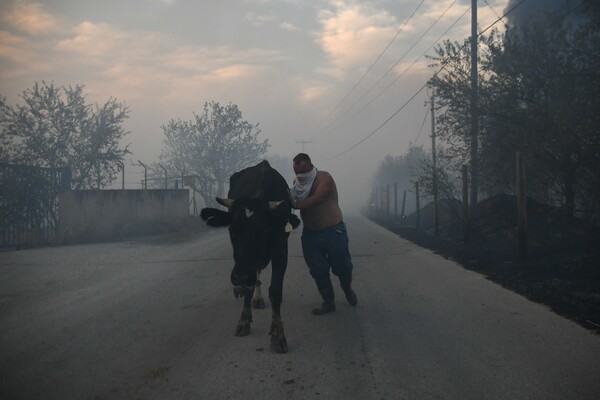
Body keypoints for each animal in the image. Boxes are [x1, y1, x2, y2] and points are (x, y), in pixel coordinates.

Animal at [199, 160, 300, 354]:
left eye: (263, 230)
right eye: (232, 230)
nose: (240, 277)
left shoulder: (280, 249)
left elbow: (275, 291)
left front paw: (278, 334)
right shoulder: (240, 261)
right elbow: (248, 286)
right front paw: (244, 320)